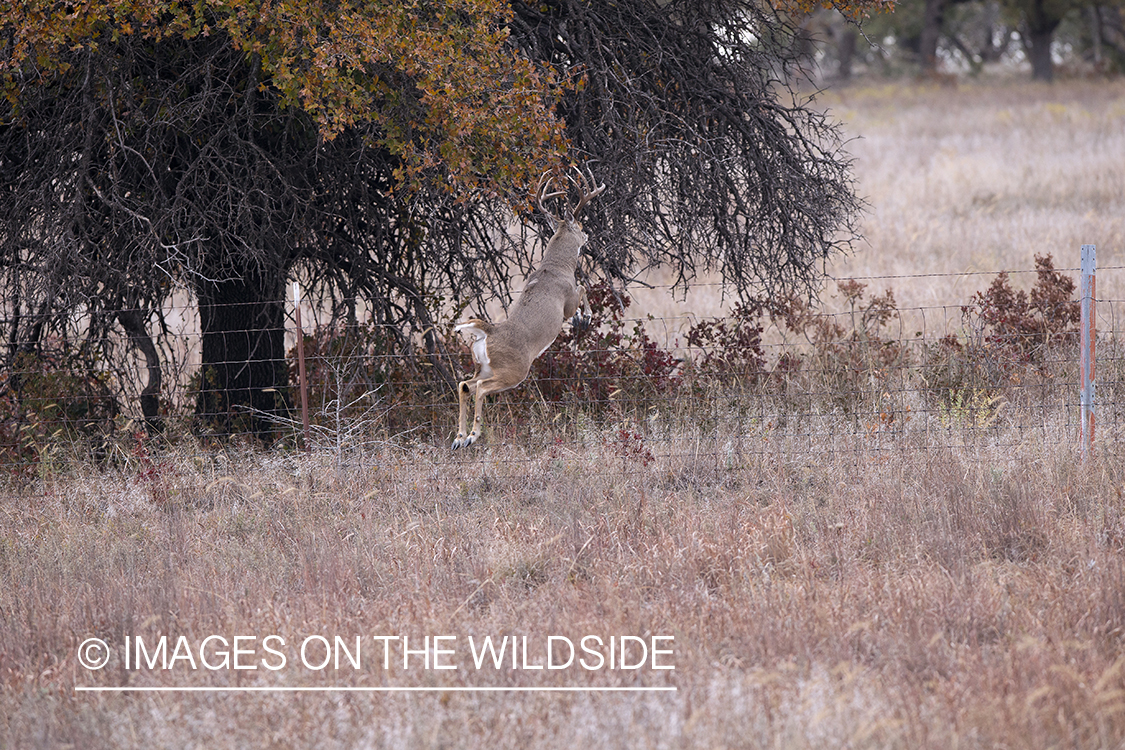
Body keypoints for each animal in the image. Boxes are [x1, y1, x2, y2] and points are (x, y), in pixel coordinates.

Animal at [450, 169, 607, 449]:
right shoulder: (567, 300)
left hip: (484, 366)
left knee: (465, 384)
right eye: (579, 226)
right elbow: (582, 289)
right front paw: (585, 317)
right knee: (481, 388)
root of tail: (487, 331)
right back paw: (472, 435)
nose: (588, 235)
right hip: (514, 370)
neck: (556, 266)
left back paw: (459, 439)